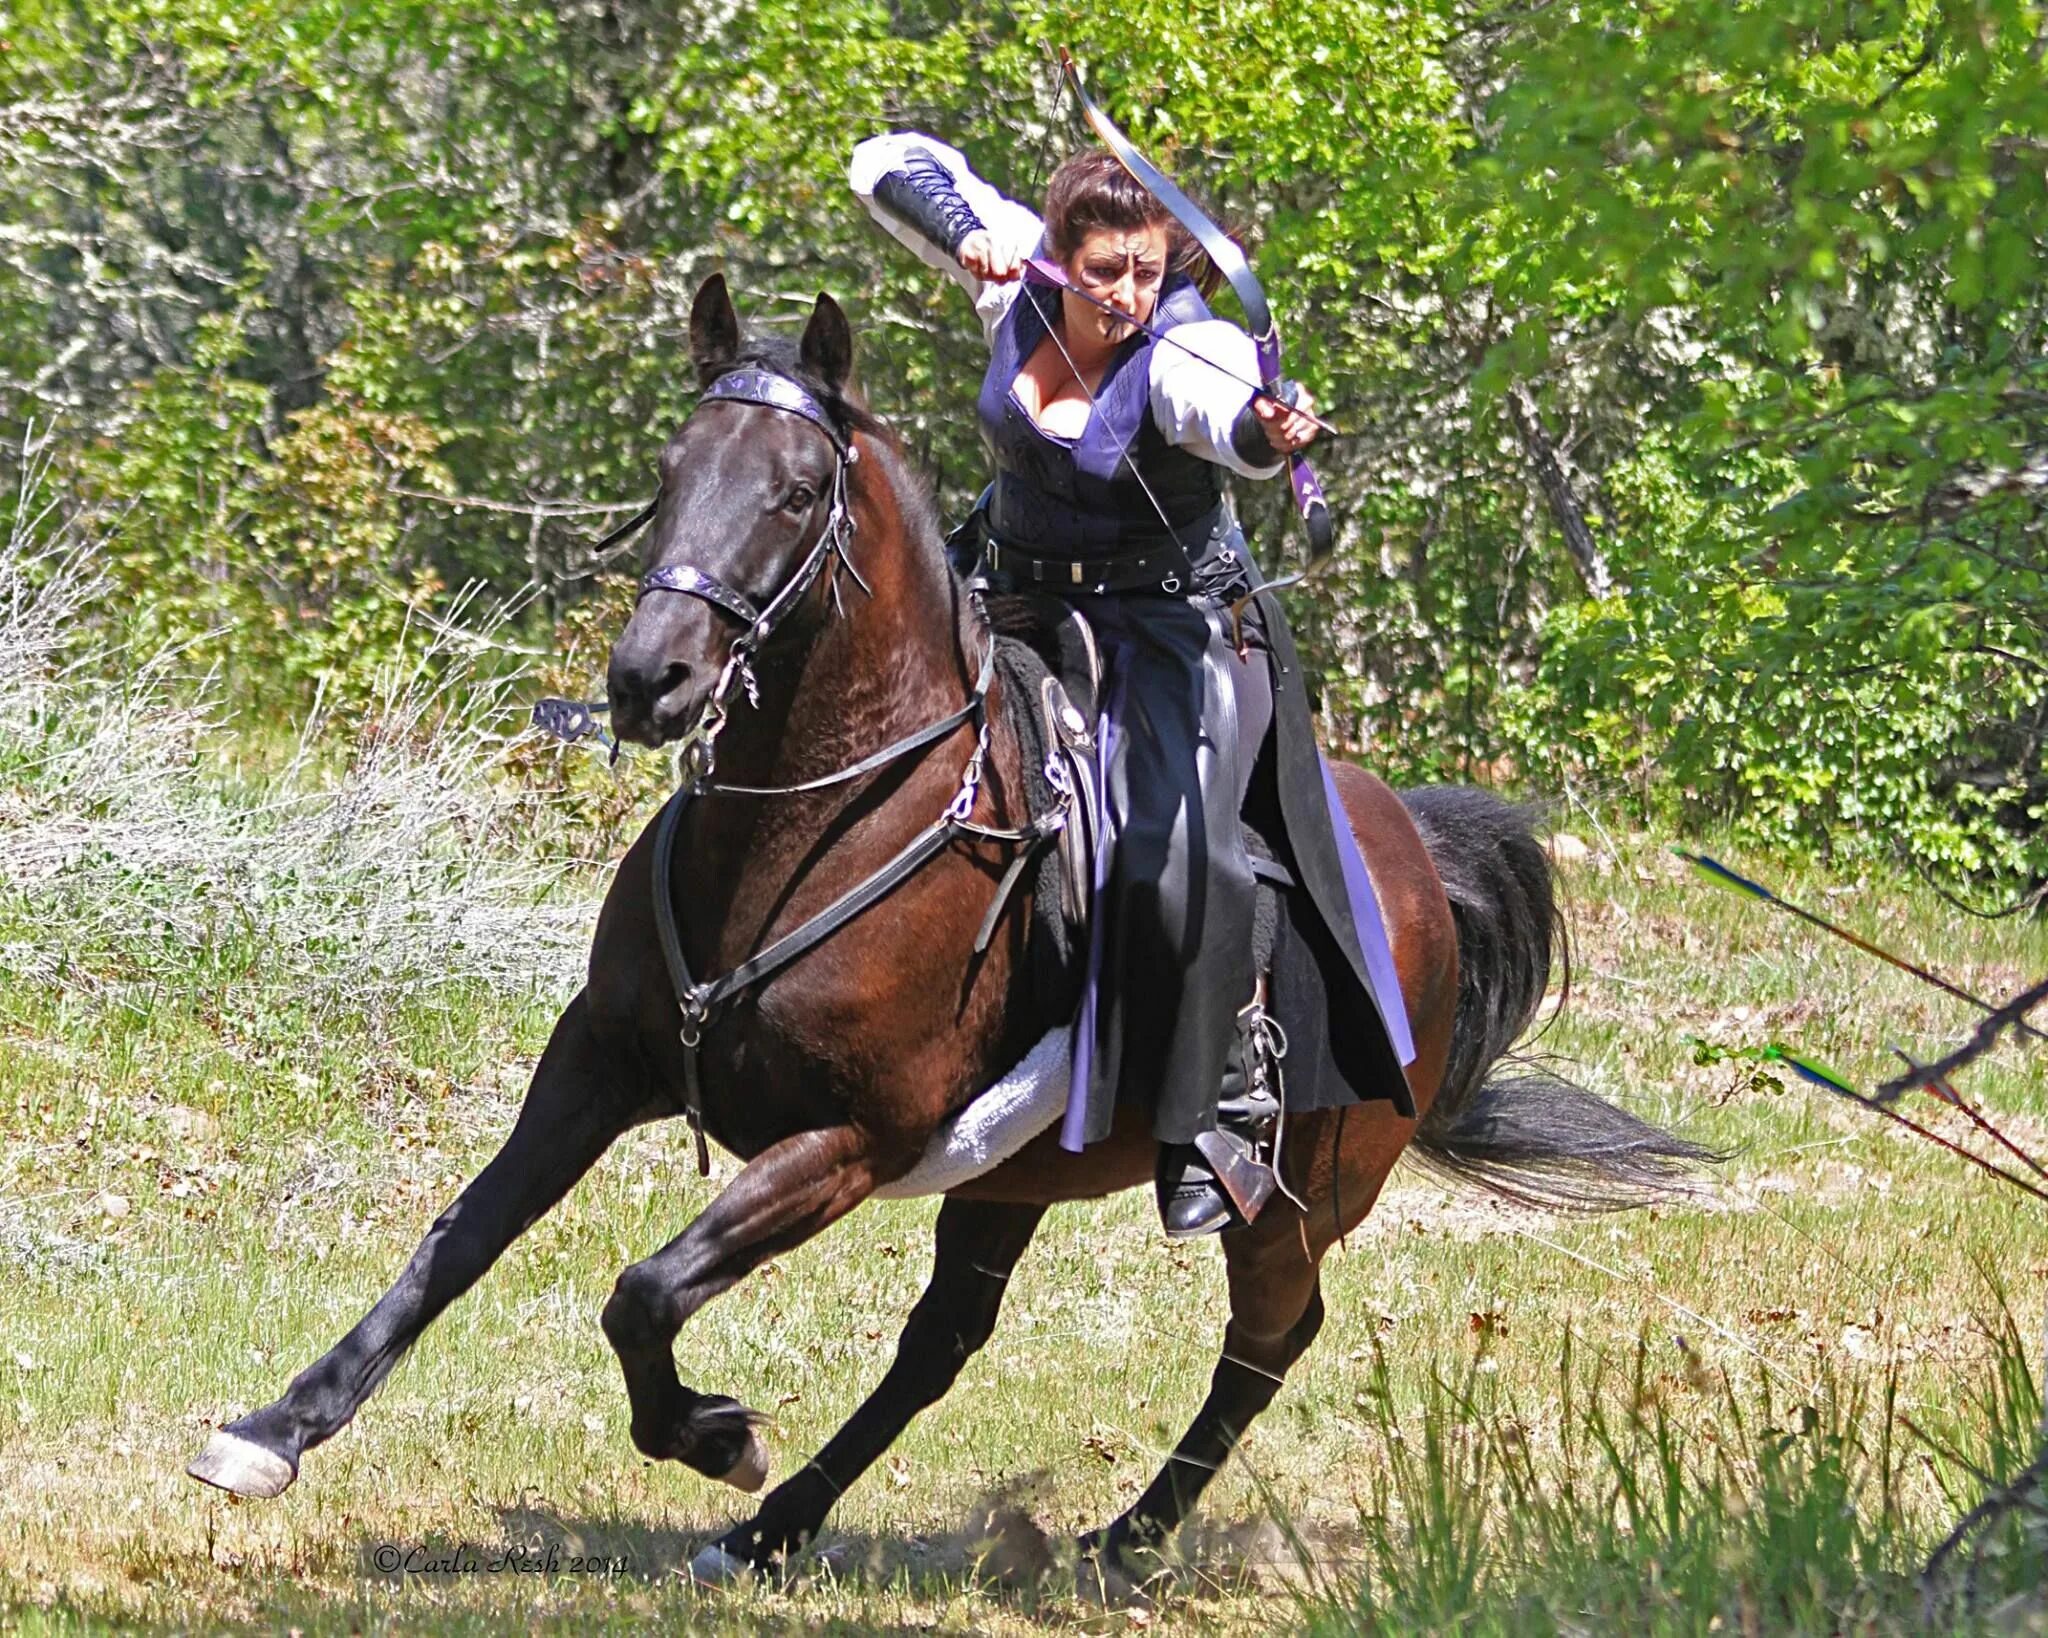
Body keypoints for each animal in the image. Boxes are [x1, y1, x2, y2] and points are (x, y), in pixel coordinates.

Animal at [192, 274, 1703, 1580]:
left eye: (797, 490)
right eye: (670, 473)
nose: (649, 680)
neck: (820, 819)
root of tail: (1410, 858)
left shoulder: (849, 1140)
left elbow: (643, 1289)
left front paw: (715, 1435)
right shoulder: (599, 1064)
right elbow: (461, 1237)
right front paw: (276, 1429)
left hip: (1293, 1191)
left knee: (1267, 1337)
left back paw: (1120, 1541)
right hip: (1012, 1181)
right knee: (943, 1346)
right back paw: (777, 1533)